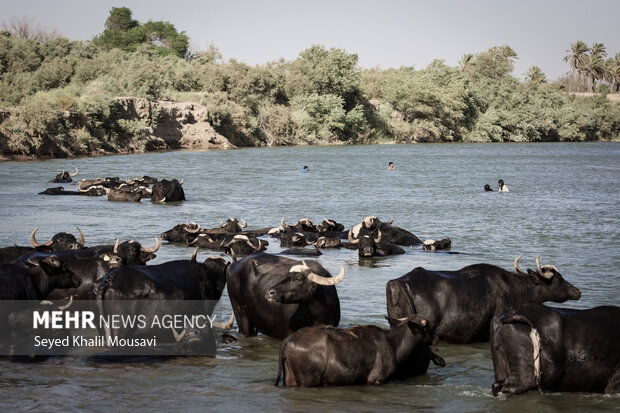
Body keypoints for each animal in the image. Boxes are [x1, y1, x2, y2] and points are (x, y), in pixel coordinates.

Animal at [274, 316, 444, 386]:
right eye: (428, 327)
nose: (437, 337)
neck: (395, 345)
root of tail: (289, 339)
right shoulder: (376, 379)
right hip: (309, 380)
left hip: (290, 378)